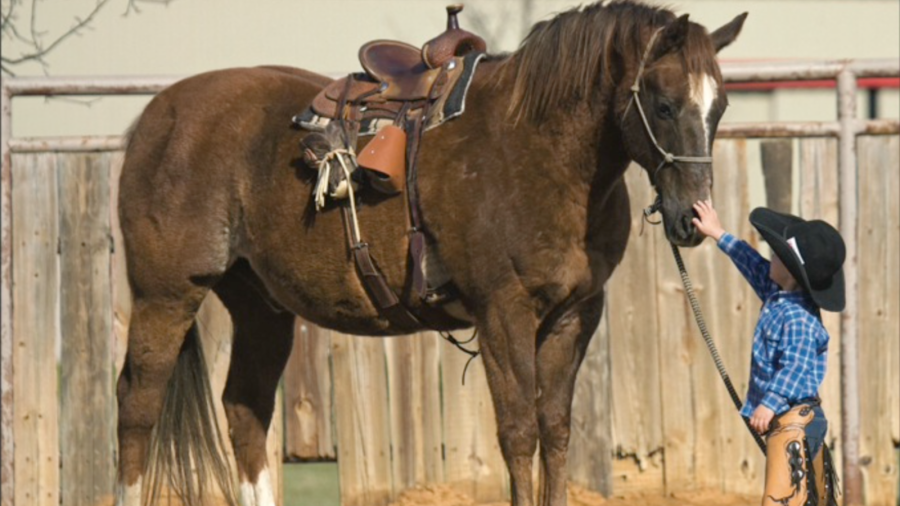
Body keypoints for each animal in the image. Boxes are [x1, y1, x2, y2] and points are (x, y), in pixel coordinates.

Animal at [113, 2, 746, 505]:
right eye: (664, 106)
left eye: (719, 108)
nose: (693, 218)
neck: (536, 148)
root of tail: (157, 115)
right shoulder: (502, 313)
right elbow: (519, 432)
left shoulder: (573, 315)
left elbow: (556, 428)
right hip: (166, 296)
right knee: (137, 407)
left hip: (260, 307)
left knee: (244, 410)